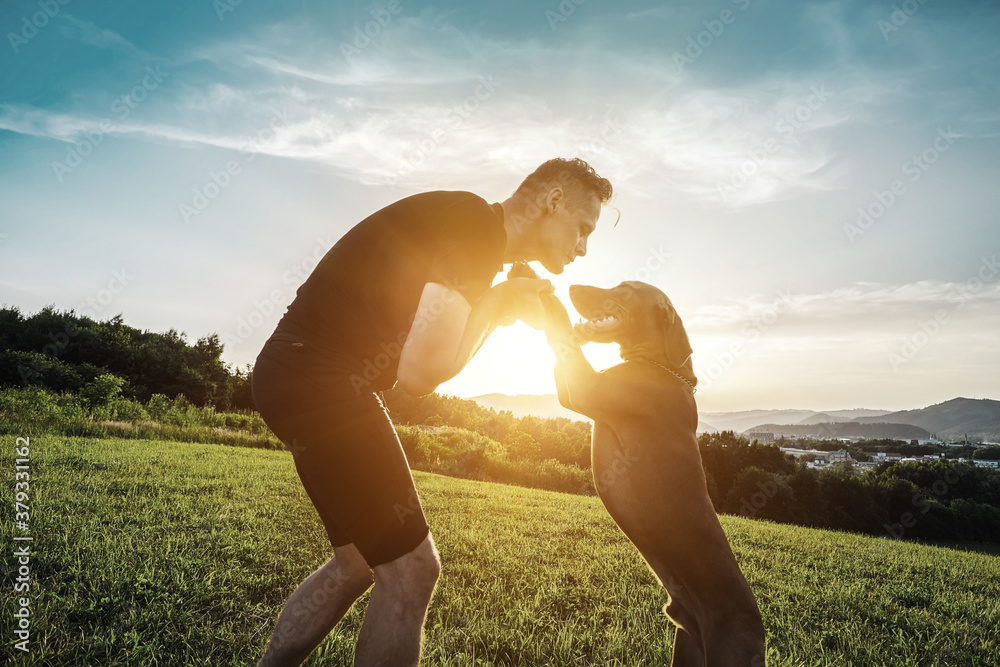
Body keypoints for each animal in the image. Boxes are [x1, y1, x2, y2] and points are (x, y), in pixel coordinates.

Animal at [540, 280, 764, 664]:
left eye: (626, 289)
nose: (573, 285)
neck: (663, 366)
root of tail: (761, 638)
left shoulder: (582, 388)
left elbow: (560, 328)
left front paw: (545, 296)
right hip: (686, 644)